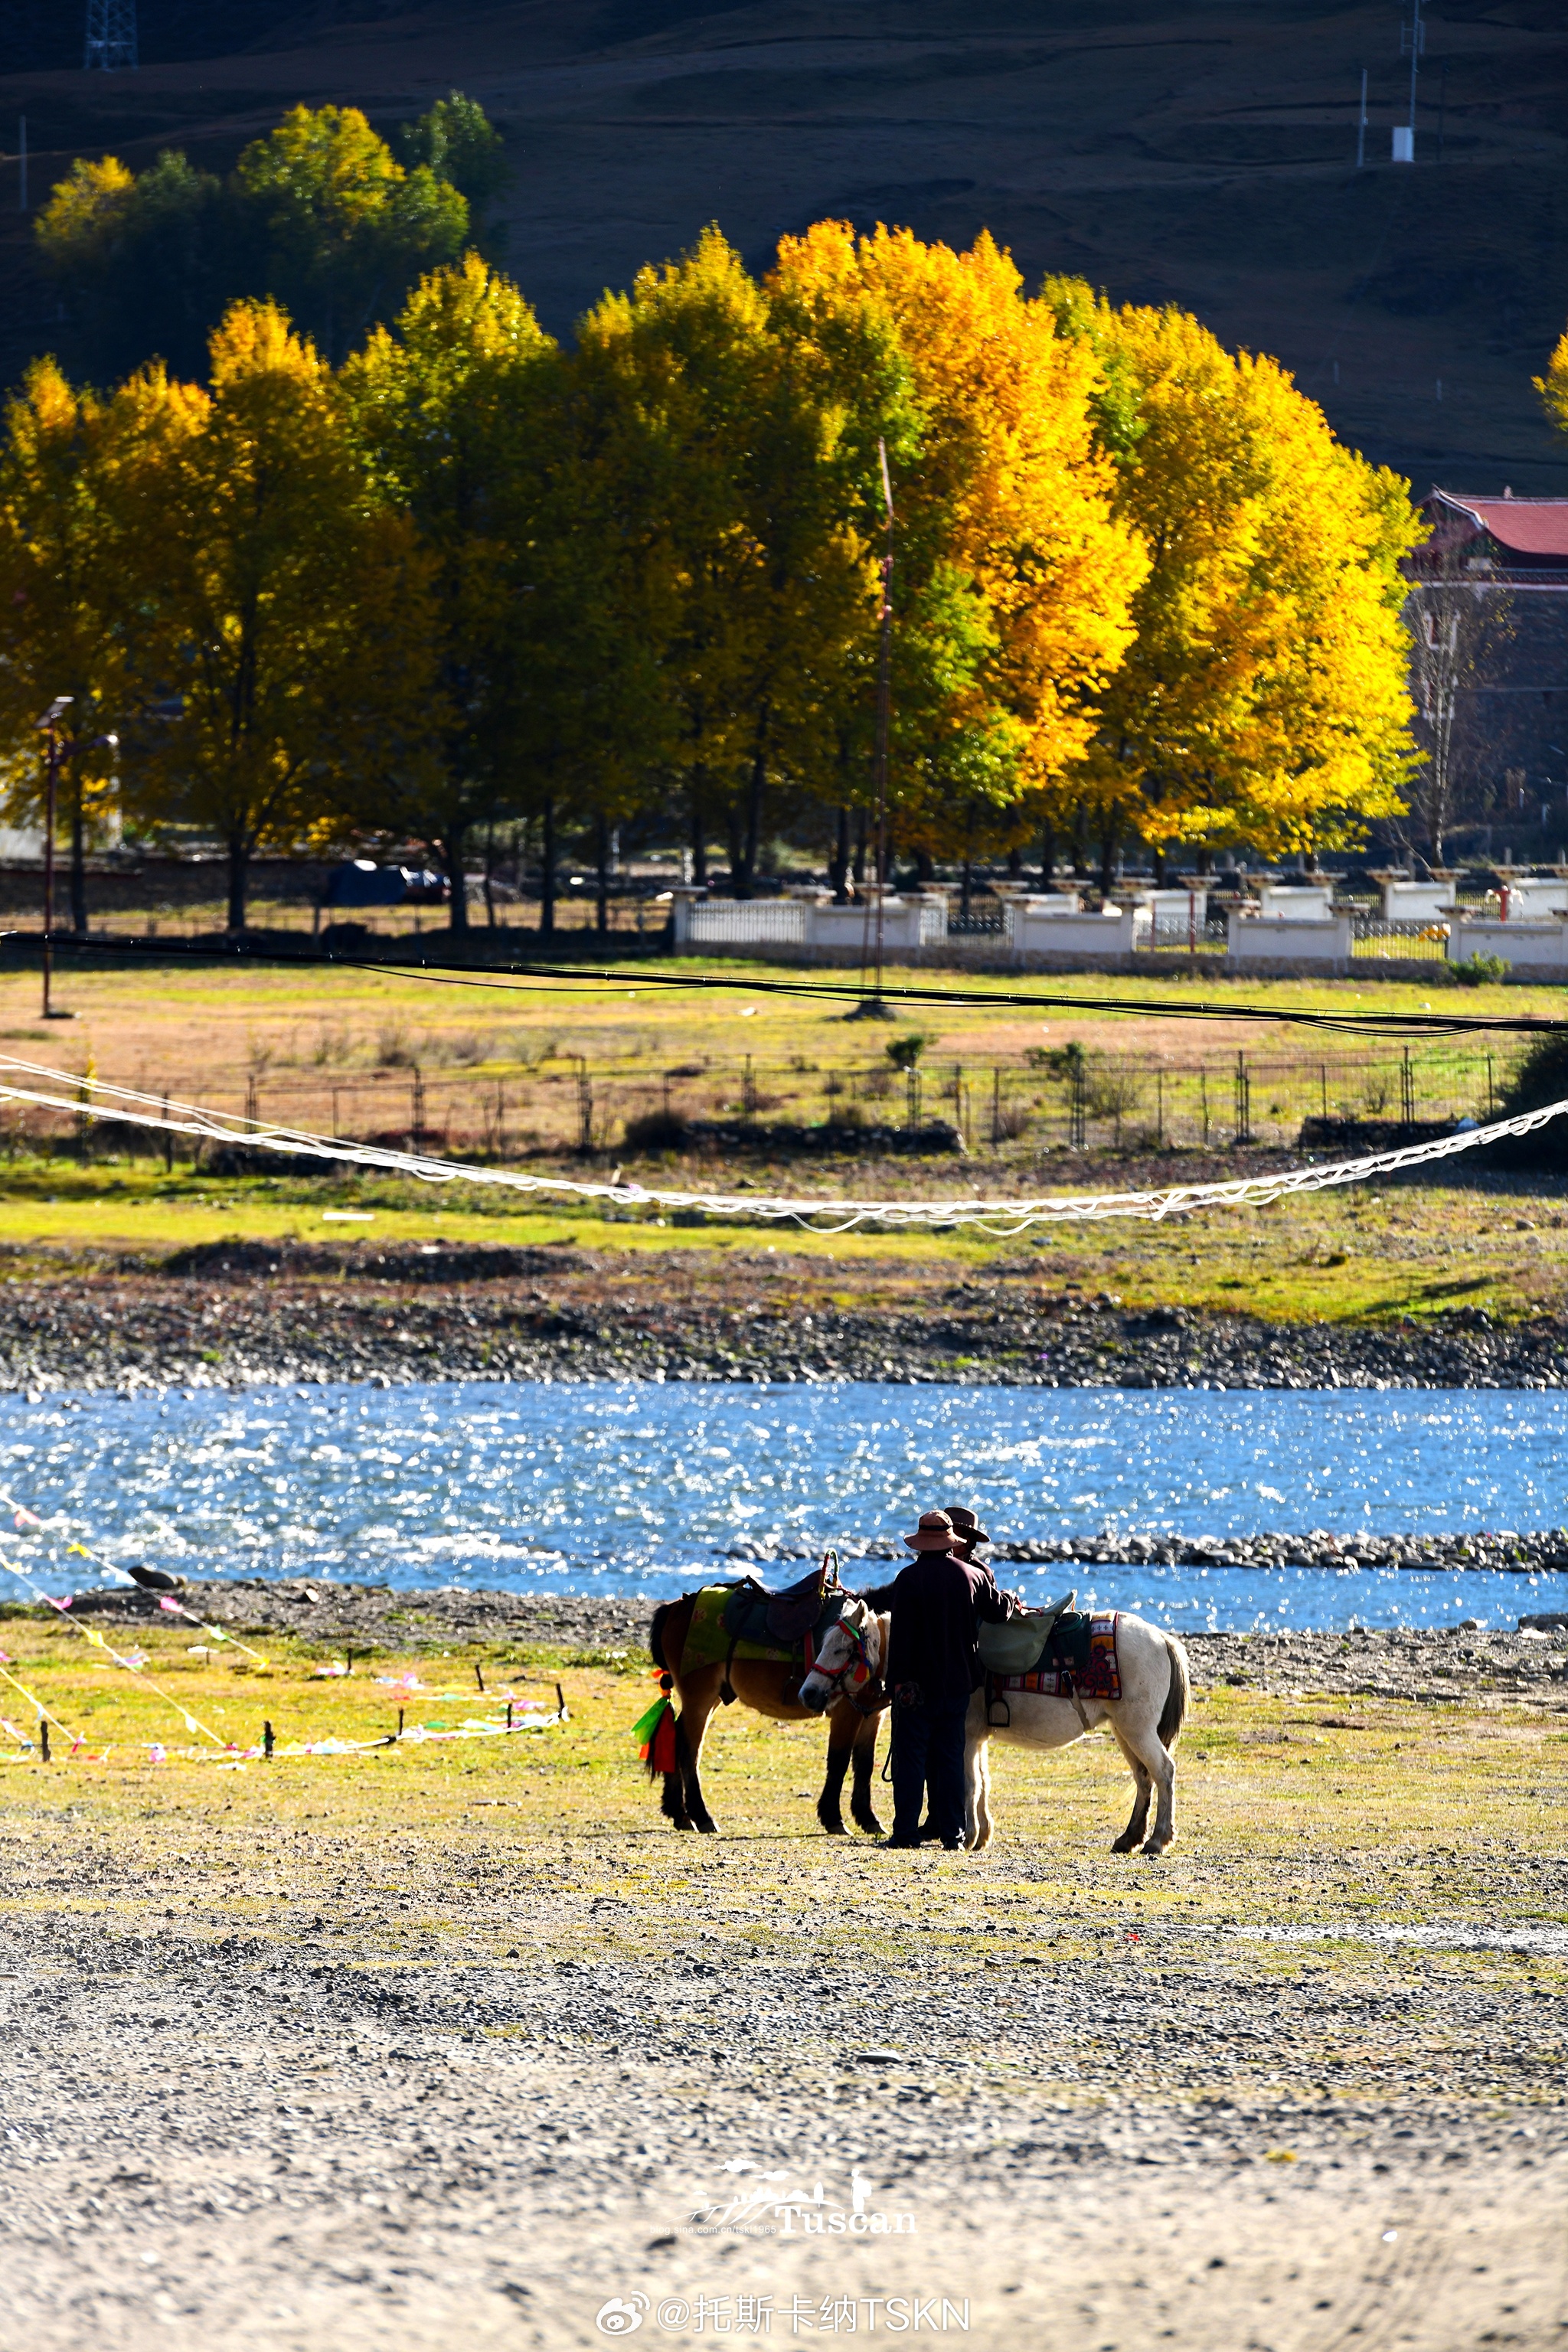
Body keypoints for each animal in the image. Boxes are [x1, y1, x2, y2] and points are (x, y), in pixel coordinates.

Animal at [644, 1580, 888, 1834]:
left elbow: (865, 1764)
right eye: (833, 1648)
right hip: (699, 1698)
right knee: (690, 1750)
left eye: (840, 1649)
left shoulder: (873, 1714)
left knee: (676, 1737)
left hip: (710, 1699)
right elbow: (839, 1762)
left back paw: (679, 1813)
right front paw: (833, 1818)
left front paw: (869, 1818)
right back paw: (701, 1816)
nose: (809, 1694)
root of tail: (677, 1606)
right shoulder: (847, 1713)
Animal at [808, 1618, 1189, 1853]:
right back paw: (1129, 1838)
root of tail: (1162, 1638)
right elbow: (982, 1782)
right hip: (1126, 1731)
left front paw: (967, 1836)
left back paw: (1157, 1840)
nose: (808, 1693)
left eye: (842, 1649)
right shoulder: (976, 1739)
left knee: (1163, 1772)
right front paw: (981, 1836)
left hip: (1137, 1729)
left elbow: (967, 1783)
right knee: (1143, 1777)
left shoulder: (962, 1735)